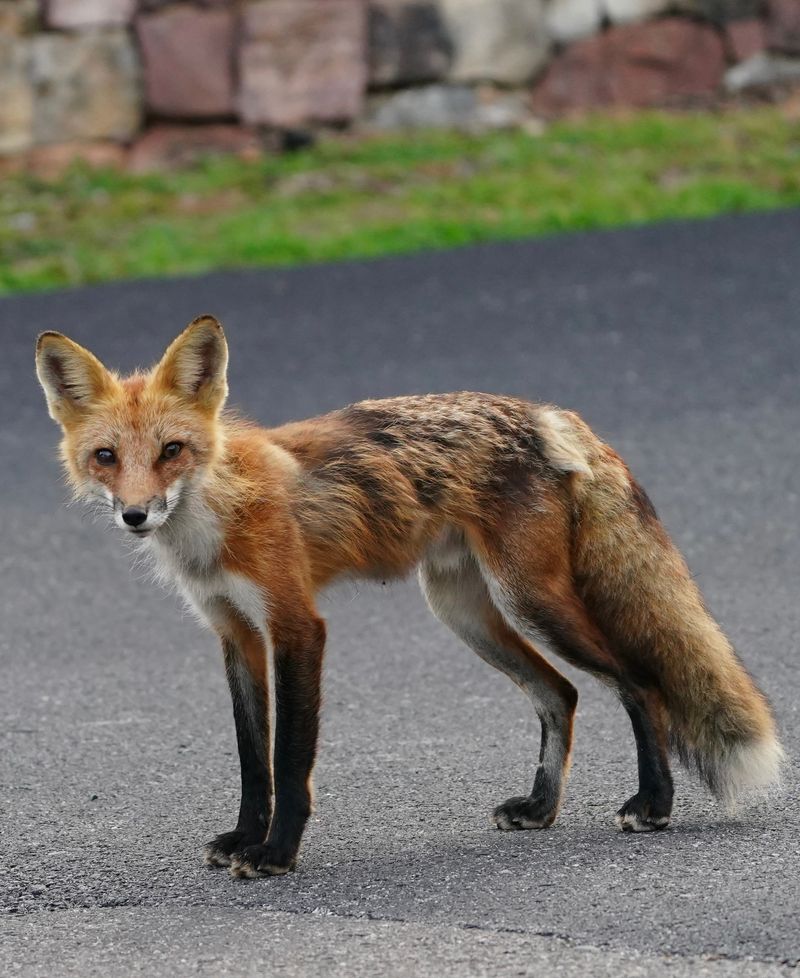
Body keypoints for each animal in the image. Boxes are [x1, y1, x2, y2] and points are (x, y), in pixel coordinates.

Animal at [35, 316, 783, 877]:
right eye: (106, 457)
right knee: (561, 694)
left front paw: (276, 853)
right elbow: (253, 760)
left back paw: (654, 803)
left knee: (640, 683)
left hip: (533, 602)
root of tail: (548, 412)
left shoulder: (297, 625)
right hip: (465, 613)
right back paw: (541, 809)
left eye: (172, 450)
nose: (135, 515)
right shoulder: (235, 633)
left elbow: (290, 758)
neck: (218, 514)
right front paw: (246, 837)